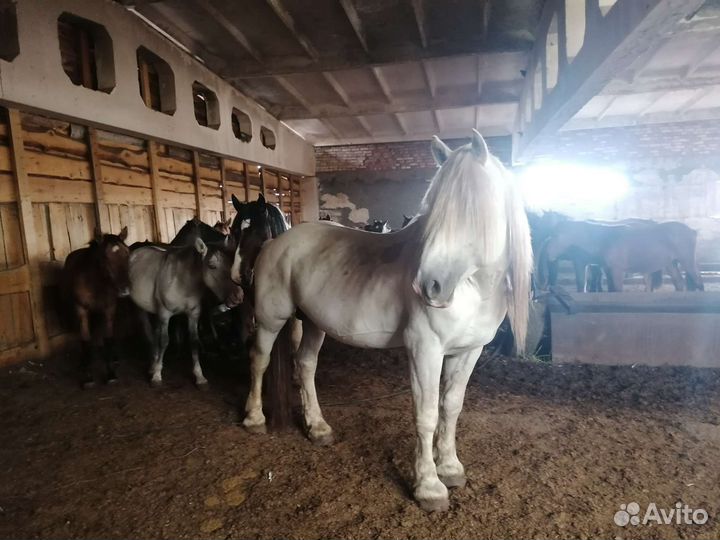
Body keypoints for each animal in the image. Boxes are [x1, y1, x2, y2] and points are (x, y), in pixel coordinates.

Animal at [62, 227, 130, 388]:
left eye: (127, 253)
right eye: (105, 257)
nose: (125, 289)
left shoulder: (109, 309)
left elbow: (109, 338)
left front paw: (111, 374)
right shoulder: (81, 311)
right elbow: (85, 340)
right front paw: (88, 377)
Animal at [128, 237, 242, 387]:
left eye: (230, 263)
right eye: (212, 265)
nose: (238, 296)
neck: (182, 281)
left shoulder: (193, 314)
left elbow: (194, 341)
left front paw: (199, 376)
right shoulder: (165, 314)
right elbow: (164, 341)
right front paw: (157, 375)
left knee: (155, 333)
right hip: (141, 310)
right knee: (149, 334)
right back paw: (153, 365)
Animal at [236, 131, 532, 511]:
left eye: (469, 209)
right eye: (433, 209)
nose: (428, 286)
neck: (473, 290)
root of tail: (276, 242)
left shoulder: (470, 351)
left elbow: (451, 407)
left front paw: (451, 468)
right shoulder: (424, 351)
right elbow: (426, 413)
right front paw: (429, 487)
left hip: (314, 323)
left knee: (305, 365)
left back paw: (318, 427)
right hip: (271, 318)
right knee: (258, 360)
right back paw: (254, 418)